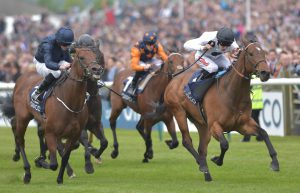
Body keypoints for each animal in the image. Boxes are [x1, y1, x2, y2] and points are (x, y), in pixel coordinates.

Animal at [7, 41, 103, 184]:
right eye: (81, 57)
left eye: (96, 56)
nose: (96, 69)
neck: (70, 101)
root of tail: (22, 77)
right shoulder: (51, 132)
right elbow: (53, 163)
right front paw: (40, 160)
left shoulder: (74, 134)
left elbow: (64, 157)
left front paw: (60, 178)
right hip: (23, 118)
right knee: (20, 140)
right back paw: (27, 172)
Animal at [163, 34, 278, 181]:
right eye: (251, 53)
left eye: (263, 53)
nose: (265, 73)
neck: (231, 93)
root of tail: (175, 78)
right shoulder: (215, 126)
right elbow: (224, 144)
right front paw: (217, 159)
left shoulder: (243, 125)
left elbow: (264, 133)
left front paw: (275, 162)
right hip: (179, 113)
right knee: (187, 141)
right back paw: (202, 164)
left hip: (201, 123)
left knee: (202, 148)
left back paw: (206, 173)